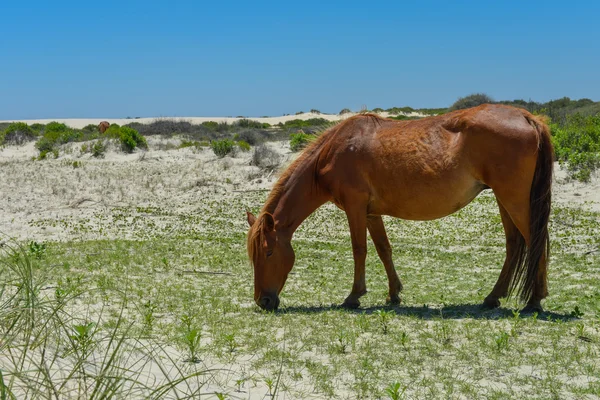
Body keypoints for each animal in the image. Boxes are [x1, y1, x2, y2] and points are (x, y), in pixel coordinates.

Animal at [245, 104, 552, 314]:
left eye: (268, 252)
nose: (264, 301)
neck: (334, 151)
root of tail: (528, 118)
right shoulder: (371, 212)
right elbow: (384, 249)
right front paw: (394, 294)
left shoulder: (355, 208)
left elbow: (359, 250)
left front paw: (353, 297)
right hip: (504, 200)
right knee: (514, 245)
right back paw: (493, 297)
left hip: (513, 200)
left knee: (535, 241)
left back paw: (534, 301)